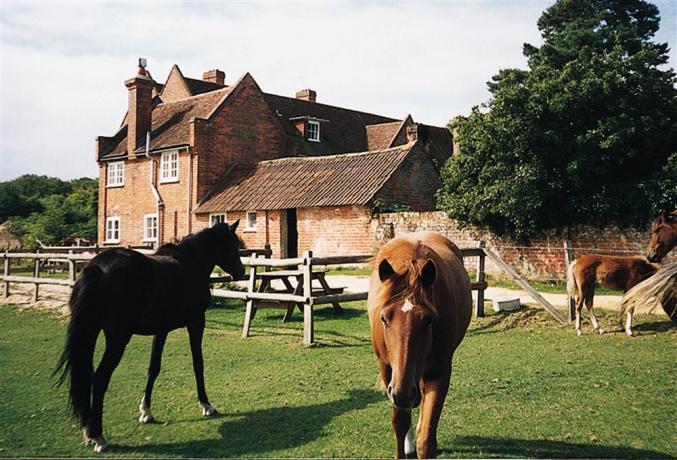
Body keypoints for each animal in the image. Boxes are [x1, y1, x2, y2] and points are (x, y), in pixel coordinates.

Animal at [54, 221, 246, 452]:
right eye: (233, 245)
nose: (242, 272)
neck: (190, 264)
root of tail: (97, 268)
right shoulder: (196, 322)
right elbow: (198, 363)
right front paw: (206, 405)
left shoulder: (161, 330)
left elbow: (154, 367)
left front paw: (146, 411)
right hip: (118, 338)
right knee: (99, 379)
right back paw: (98, 436)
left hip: (91, 333)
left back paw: (88, 430)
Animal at [368, 232, 472, 458]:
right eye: (384, 318)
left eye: (428, 320)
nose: (404, 394)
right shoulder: (389, 373)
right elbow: (399, 423)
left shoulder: (439, 373)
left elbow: (426, 438)